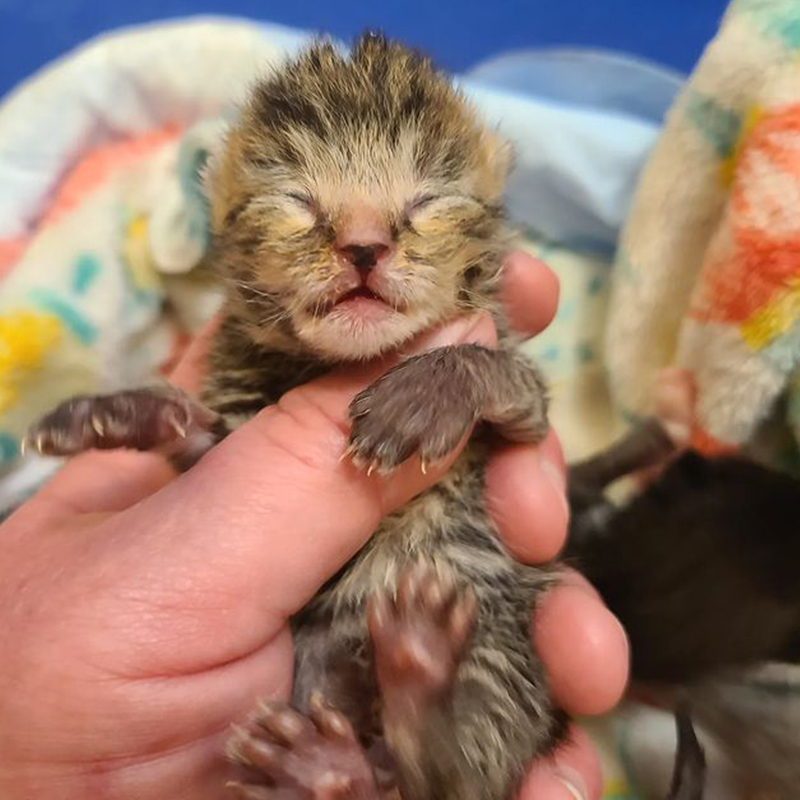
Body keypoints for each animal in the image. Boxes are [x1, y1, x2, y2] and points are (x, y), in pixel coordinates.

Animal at [26, 34, 564, 796]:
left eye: (427, 200)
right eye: (297, 202)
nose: (364, 247)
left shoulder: (521, 398)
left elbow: (507, 386)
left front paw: (424, 396)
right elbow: (199, 443)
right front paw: (120, 410)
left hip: (497, 633)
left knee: (448, 778)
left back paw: (420, 674)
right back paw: (332, 756)